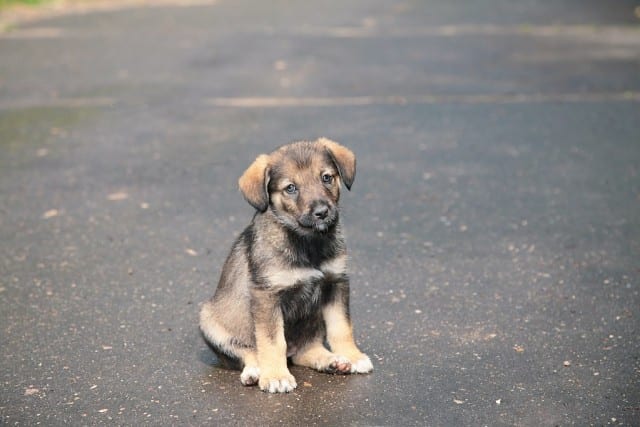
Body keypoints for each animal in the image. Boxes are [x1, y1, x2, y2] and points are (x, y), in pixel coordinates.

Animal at [198, 138, 372, 394]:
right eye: (290, 188)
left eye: (326, 177)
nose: (322, 212)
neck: (308, 243)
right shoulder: (267, 295)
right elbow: (272, 341)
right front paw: (276, 376)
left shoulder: (336, 282)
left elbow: (342, 326)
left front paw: (353, 355)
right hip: (209, 320)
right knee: (248, 352)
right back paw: (256, 371)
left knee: (306, 349)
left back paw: (331, 360)